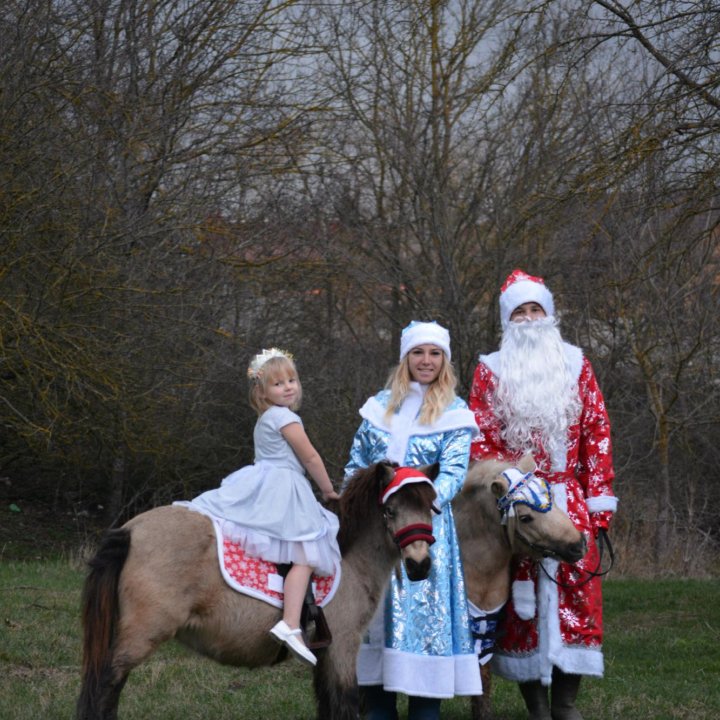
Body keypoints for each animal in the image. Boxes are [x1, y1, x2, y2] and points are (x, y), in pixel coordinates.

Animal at [77, 462, 438, 720]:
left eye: (430, 508)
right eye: (390, 510)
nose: (420, 565)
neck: (346, 555)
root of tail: (130, 531)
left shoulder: (324, 654)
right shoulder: (342, 648)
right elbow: (343, 705)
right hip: (139, 638)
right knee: (104, 688)